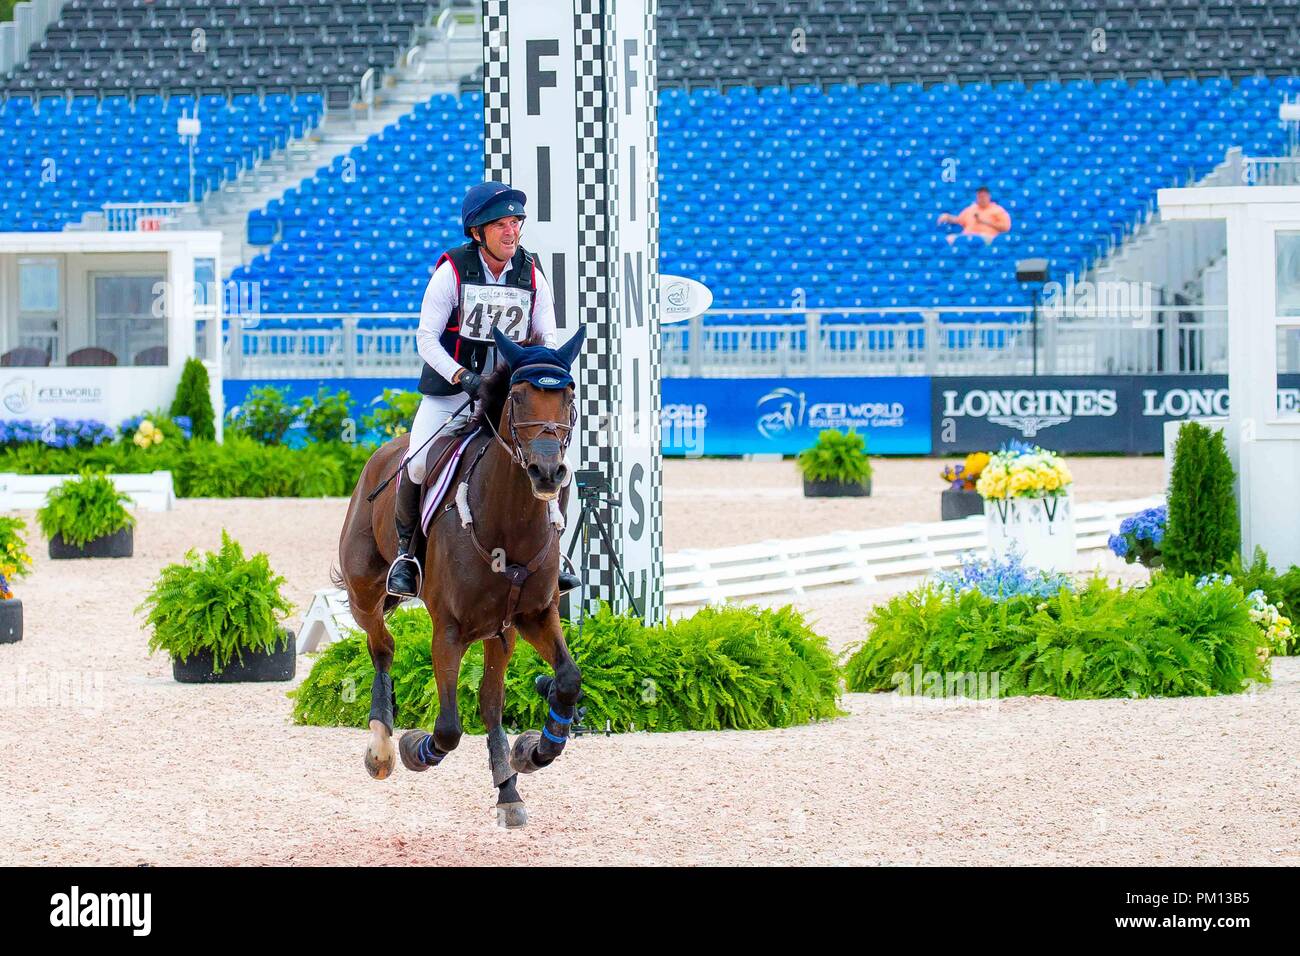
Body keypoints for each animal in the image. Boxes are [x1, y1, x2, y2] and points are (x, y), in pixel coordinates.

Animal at [335, 325, 585, 827]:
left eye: (568, 396)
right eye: (518, 397)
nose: (548, 472)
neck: (508, 524)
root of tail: (383, 451)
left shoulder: (532, 616)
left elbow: (566, 680)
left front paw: (535, 749)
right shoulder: (448, 629)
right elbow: (449, 728)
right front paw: (416, 749)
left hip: (499, 632)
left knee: (490, 703)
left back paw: (508, 788)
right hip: (364, 591)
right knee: (382, 646)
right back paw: (381, 748)